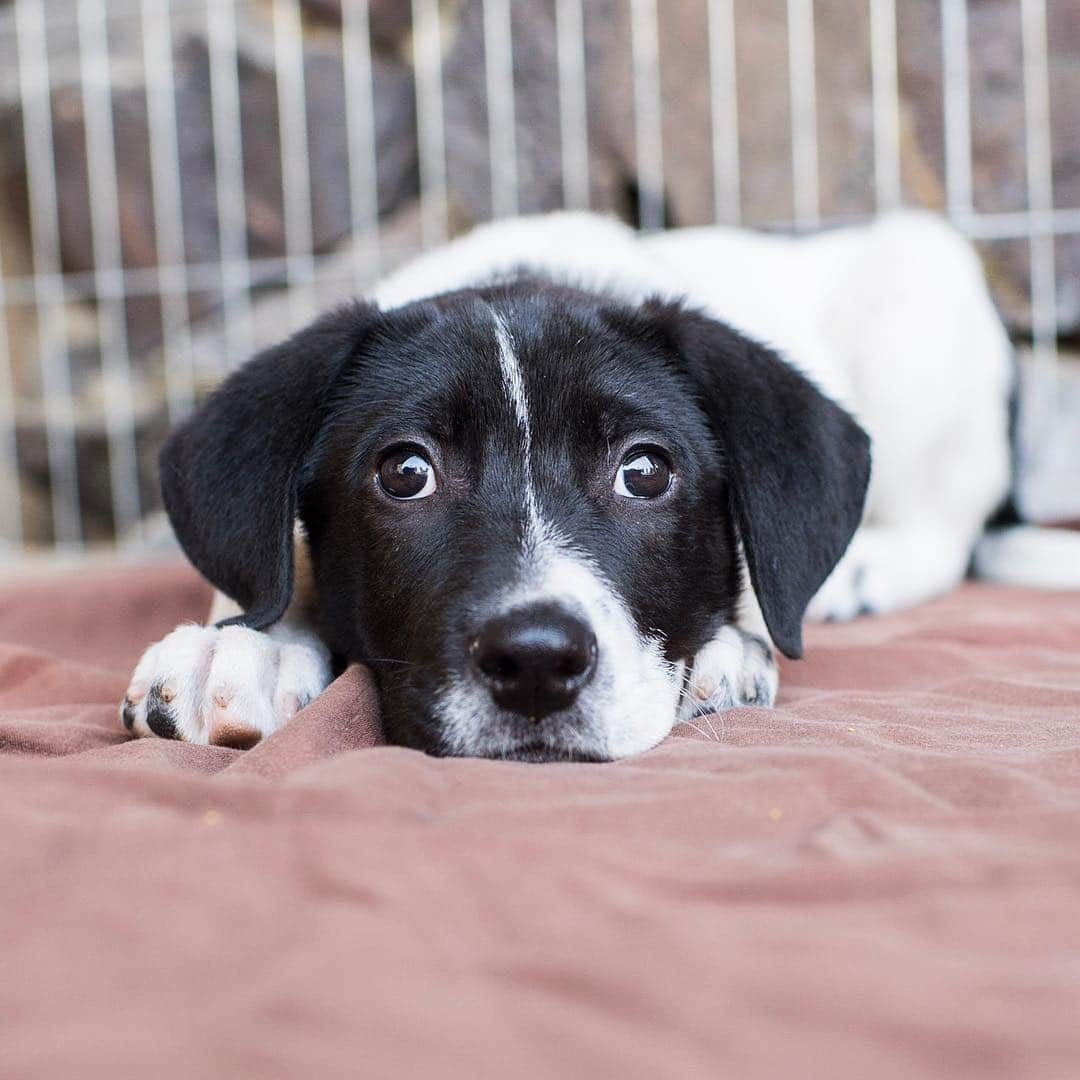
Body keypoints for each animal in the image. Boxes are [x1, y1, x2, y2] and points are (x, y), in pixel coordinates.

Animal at [122, 208, 1023, 760]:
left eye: (644, 471)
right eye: (406, 473)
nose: (535, 661)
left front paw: (727, 649)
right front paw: (245, 642)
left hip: (919, 317)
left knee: (948, 527)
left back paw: (863, 571)